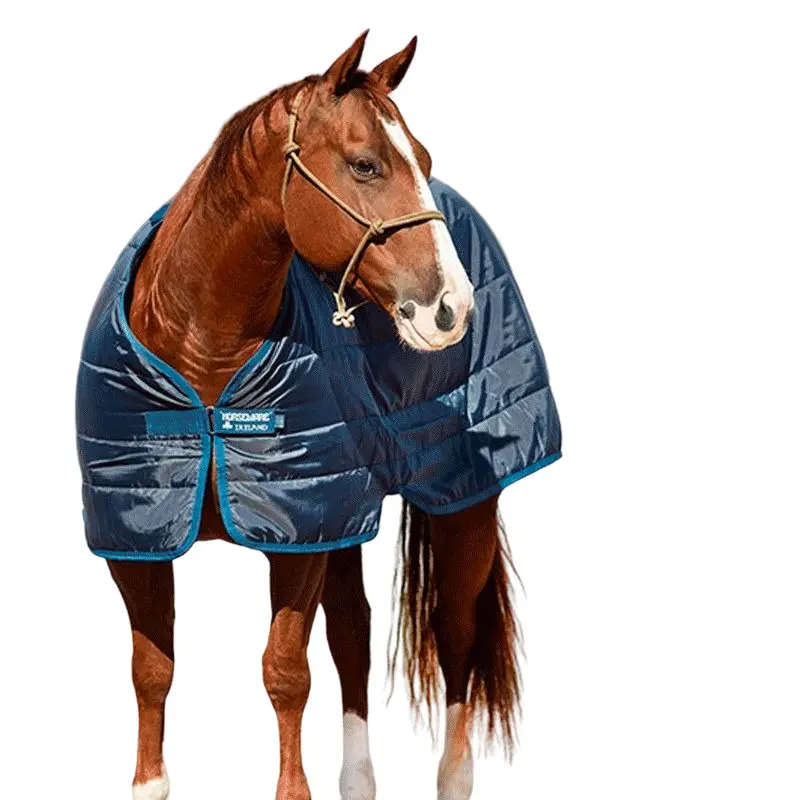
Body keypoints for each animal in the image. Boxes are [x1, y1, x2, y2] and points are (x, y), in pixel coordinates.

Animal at [99, 32, 523, 800]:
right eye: (365, 163)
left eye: (425, 159)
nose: (453, 306)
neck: (204, 361)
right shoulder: (137, 536)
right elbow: (152, 671)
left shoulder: (298, 536)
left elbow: (286, 673)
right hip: (346, 515)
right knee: (353, 633)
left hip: (463, 501)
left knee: (456, 634)